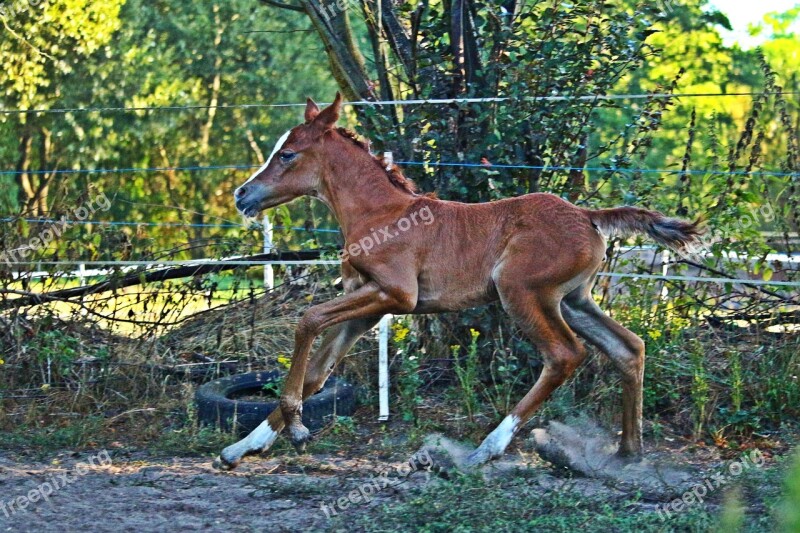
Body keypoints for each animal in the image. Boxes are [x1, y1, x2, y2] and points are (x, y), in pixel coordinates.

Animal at [216, 93, 704, 468]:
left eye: (287, 154)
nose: (241, 194)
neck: (380, 214)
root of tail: (587, 215)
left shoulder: (396, 294)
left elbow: (307, 320)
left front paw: (297, 427)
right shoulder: (366, 305)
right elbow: (318, 371)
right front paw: (241, 447)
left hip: (521, 292)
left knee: (565, 355)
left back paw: (487, 449)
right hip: (573, 300)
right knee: (629, 347)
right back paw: (627, 452)